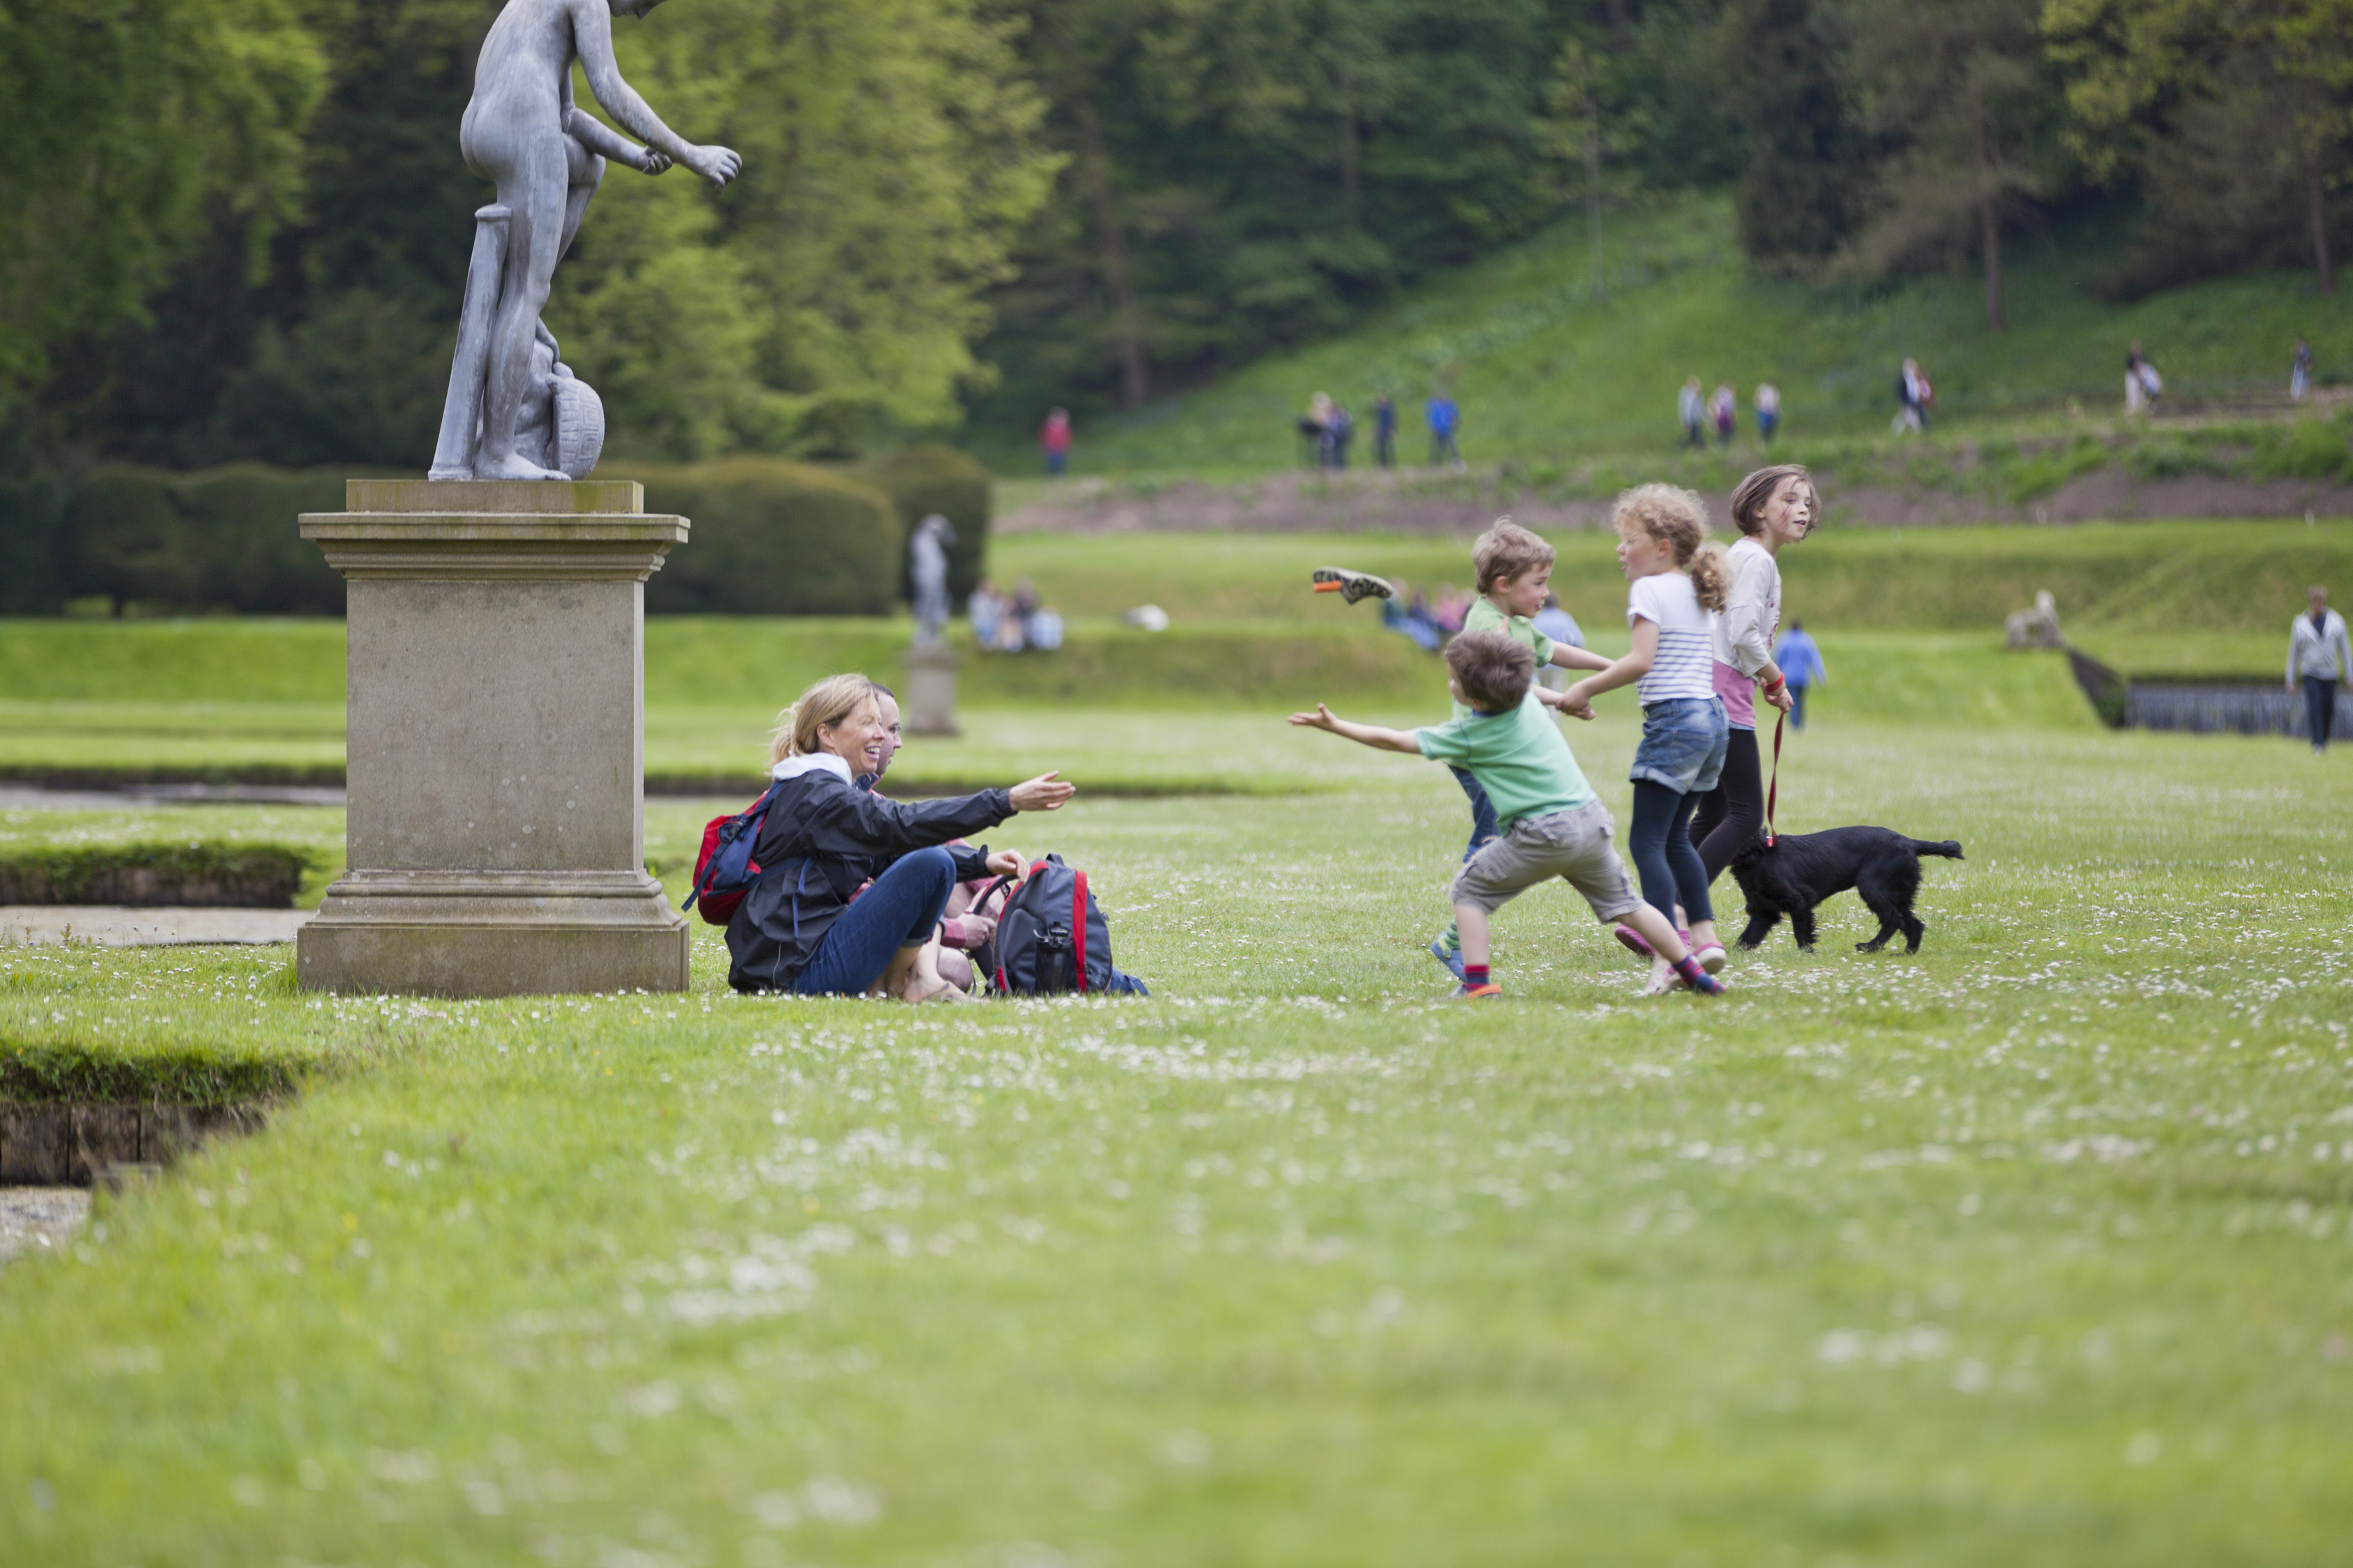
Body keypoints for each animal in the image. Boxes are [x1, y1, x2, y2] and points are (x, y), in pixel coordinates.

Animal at [1732, 824, 1967, 946]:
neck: (1759, 854)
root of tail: (1910, 842)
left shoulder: (1800, 900)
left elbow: (1802, 935)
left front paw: (1808, 956)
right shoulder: (1763, 912)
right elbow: (1746, 938)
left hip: (1874, 889)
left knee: (1893, 920)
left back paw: (1870, 947)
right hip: (1899, 893)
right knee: (1913, 924)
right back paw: (1906, 953)